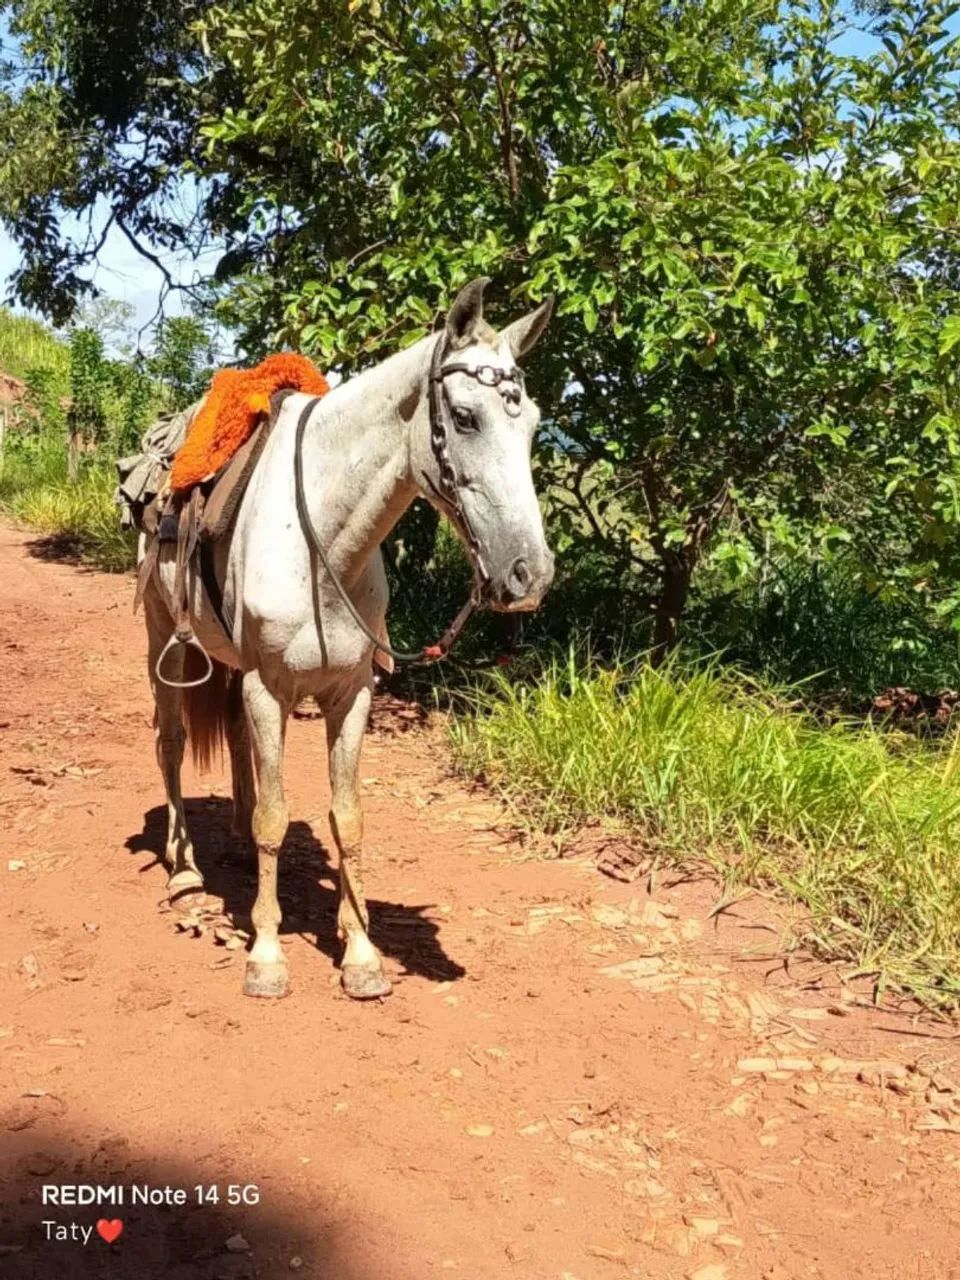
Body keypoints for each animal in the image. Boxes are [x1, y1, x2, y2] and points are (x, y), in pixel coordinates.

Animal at [141, 277, 555, 1001]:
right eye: (465, 418)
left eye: (530, 423)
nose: (528, 574)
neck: (321, 542)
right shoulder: (269, 688)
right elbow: (277, 817)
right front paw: (266, 957)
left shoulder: (351, 693)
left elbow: (346, 817)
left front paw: (361, 953)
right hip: (166, 639)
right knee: (172, 743)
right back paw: (185, 871)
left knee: (240, 752)